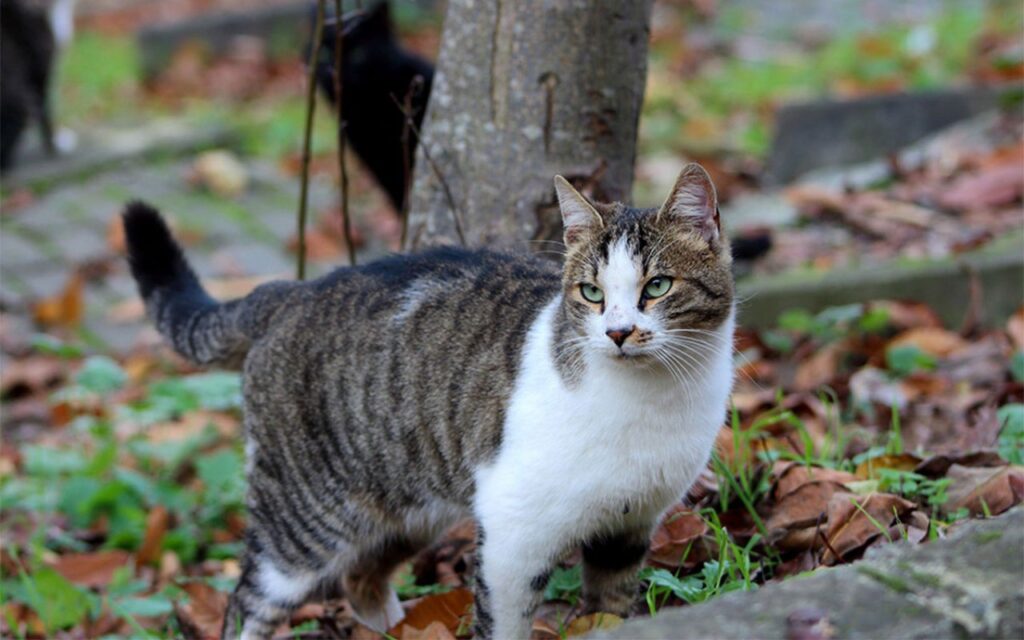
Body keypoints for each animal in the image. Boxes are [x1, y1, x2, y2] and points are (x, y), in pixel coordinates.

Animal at [123, 161, 737, 634]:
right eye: (591, 293)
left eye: (657, 286)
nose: (618, 332)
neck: (652, 402)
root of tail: (292, 290)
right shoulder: (513, 534)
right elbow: (504, 624)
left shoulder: (628, 528)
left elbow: (610, 609)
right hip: (299, 522)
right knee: (248, 603)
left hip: (407, 508)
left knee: (360, 579)